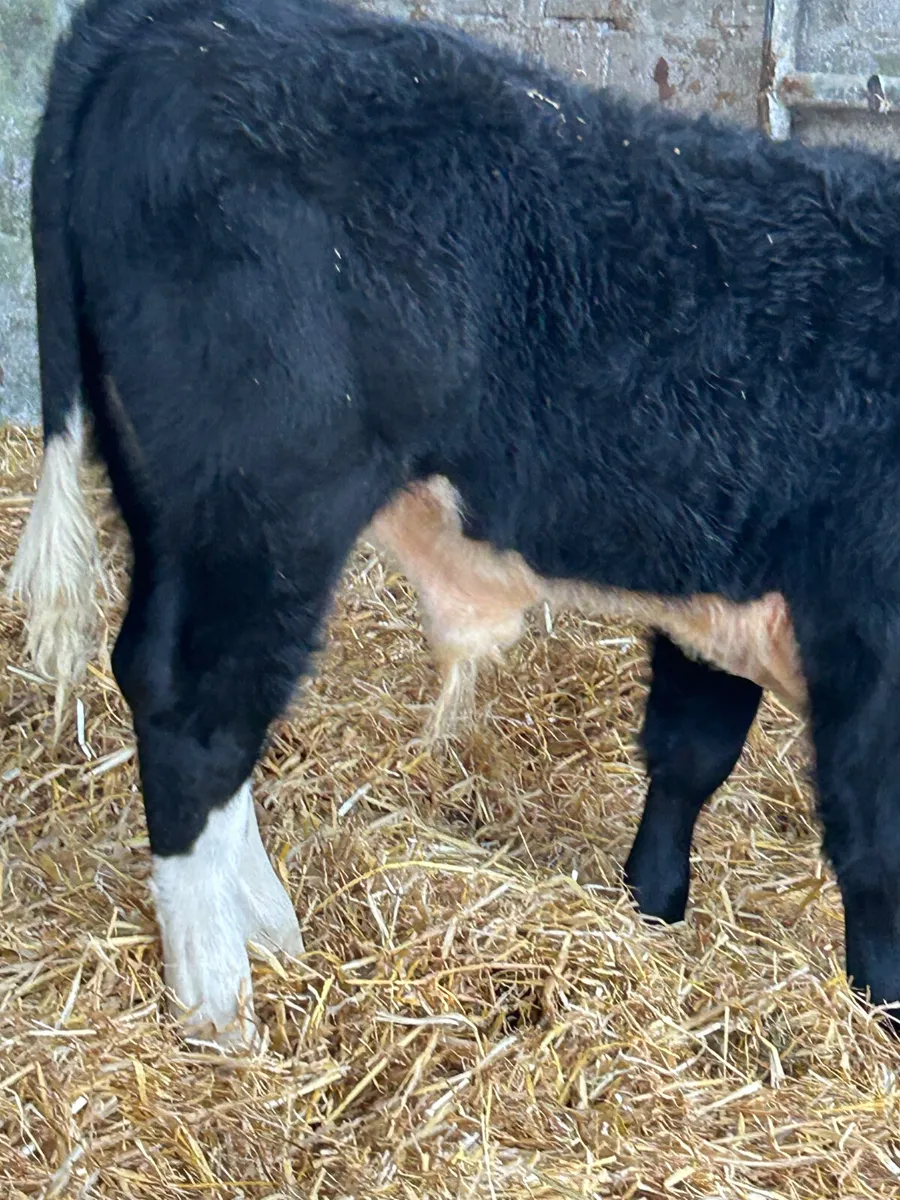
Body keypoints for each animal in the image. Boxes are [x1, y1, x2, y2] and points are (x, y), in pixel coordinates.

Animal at [8, 0, 900, 1044]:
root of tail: (171, 23)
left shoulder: (733, 579)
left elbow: (689, 754)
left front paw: (650, 910)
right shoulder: (874, 643)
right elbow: (875, 844)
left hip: (169, 497)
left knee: (173, 680)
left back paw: (271, 933)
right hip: (267, 503)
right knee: (198, 709)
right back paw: (221, 999)